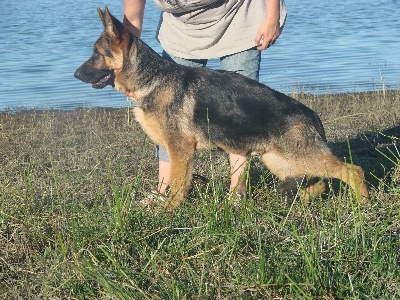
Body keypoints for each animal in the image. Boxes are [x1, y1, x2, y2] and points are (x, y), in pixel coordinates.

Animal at [74, 7, 368, 209]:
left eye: (97, 53)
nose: (75, 75)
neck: (152, 77)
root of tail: (309, 113)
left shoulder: (181, 149)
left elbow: (177, 184)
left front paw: (169, 210)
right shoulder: (175, 150)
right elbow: (173, 181)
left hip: (300, 156)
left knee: (352, 170)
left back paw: (362, 204)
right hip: (279, 161)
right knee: (320, 183)